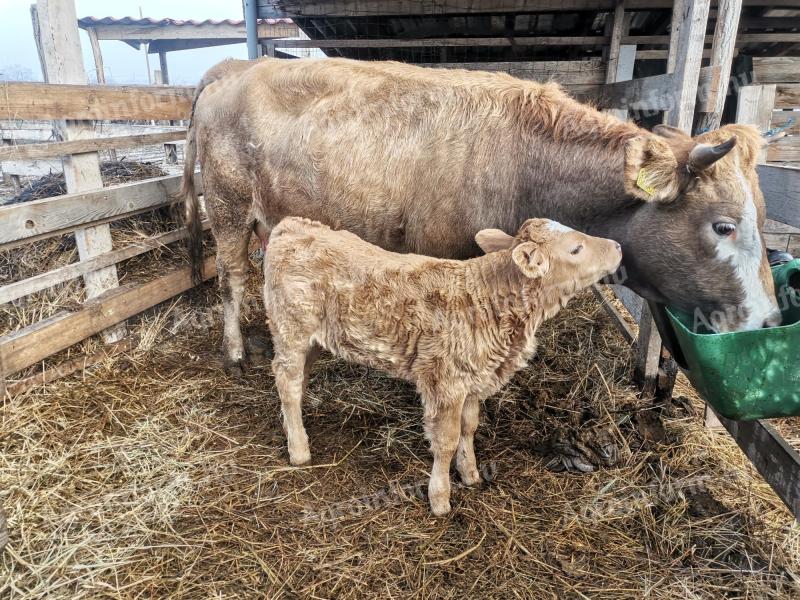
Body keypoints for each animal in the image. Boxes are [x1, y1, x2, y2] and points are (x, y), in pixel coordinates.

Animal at [181, 57, 780, 376]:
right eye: (724, 225)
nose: (770, 321)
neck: (522, 157)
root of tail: (237, 68)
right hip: (229, 209)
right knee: (232, 279)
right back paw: (235, 350)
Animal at [266, 218, 620, 512]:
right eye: (576, 248)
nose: (617, 247)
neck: (489, 299)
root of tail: (290, 225)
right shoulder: (445, 382)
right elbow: (446, 442)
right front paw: (440, 498)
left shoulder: (474, 381)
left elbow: (469, 428)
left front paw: (471, 473)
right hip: (290, 327)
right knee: (286, 380)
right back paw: (299, 449)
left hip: (312, 337)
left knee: (298, 378)